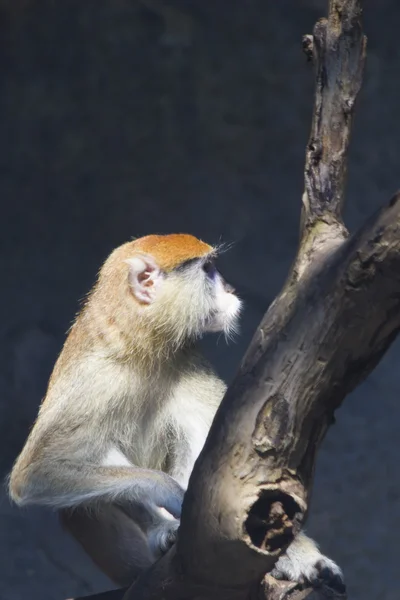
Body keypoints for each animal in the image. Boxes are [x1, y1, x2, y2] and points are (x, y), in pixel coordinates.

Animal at [7, 233, 344, 592]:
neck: (140, 342)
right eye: (208, 270)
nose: (230, 289)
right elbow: (36, 473)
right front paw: (171, 495)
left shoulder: (186, 358)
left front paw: (304, 558)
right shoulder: (91, 376)